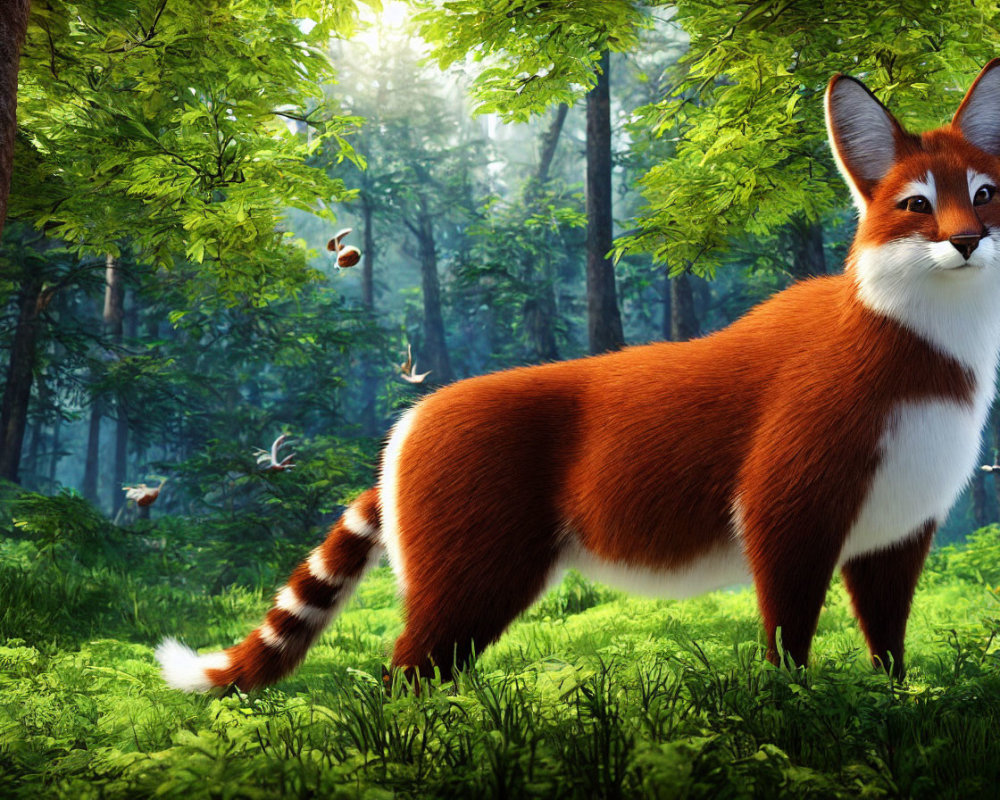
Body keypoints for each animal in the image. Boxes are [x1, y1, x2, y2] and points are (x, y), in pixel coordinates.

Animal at [158, 60, 1000, 692]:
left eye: (986, 193)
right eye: (916, 204)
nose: (967, 241)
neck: (922, 349)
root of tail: (409, 425)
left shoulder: (900, 526)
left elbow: (888, 635)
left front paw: (894, 701)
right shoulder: (787, 507)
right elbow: (789, 633)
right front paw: (796, 709)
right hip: (472, 567)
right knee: (409, 667)